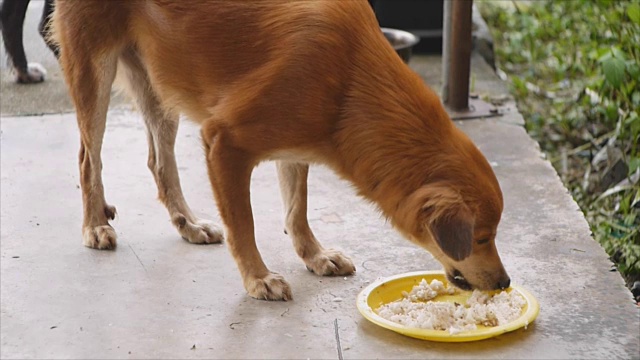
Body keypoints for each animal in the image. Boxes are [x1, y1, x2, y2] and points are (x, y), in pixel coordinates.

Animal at [50, 0, 510, 300]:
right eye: (481, 237)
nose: (505, 283)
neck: (351, 83)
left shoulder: (295, 148)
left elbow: (296, 210)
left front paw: (315, 256)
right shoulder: (225, 144)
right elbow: (245, 225)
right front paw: (258, 278)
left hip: (160, 83)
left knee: (159, 163)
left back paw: (189, 224)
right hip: (95, 69)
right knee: (89, 159)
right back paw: (95, 225)